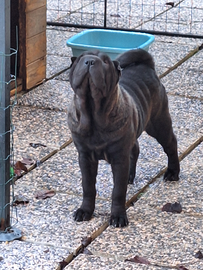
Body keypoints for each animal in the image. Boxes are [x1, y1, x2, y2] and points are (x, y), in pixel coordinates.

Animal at [68, 49, 179, 228]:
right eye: (80, 59)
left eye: (105, 62)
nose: (90, 61)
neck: (93, 113)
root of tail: (147, 66)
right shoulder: (85, 158)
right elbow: (88, 186)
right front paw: (85, 211)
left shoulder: (119, 158)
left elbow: (118, 191)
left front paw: (118, 216)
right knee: (135, 149)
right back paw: (130, 176)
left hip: (159, 123)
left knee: (171, 144)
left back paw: (173, 173)